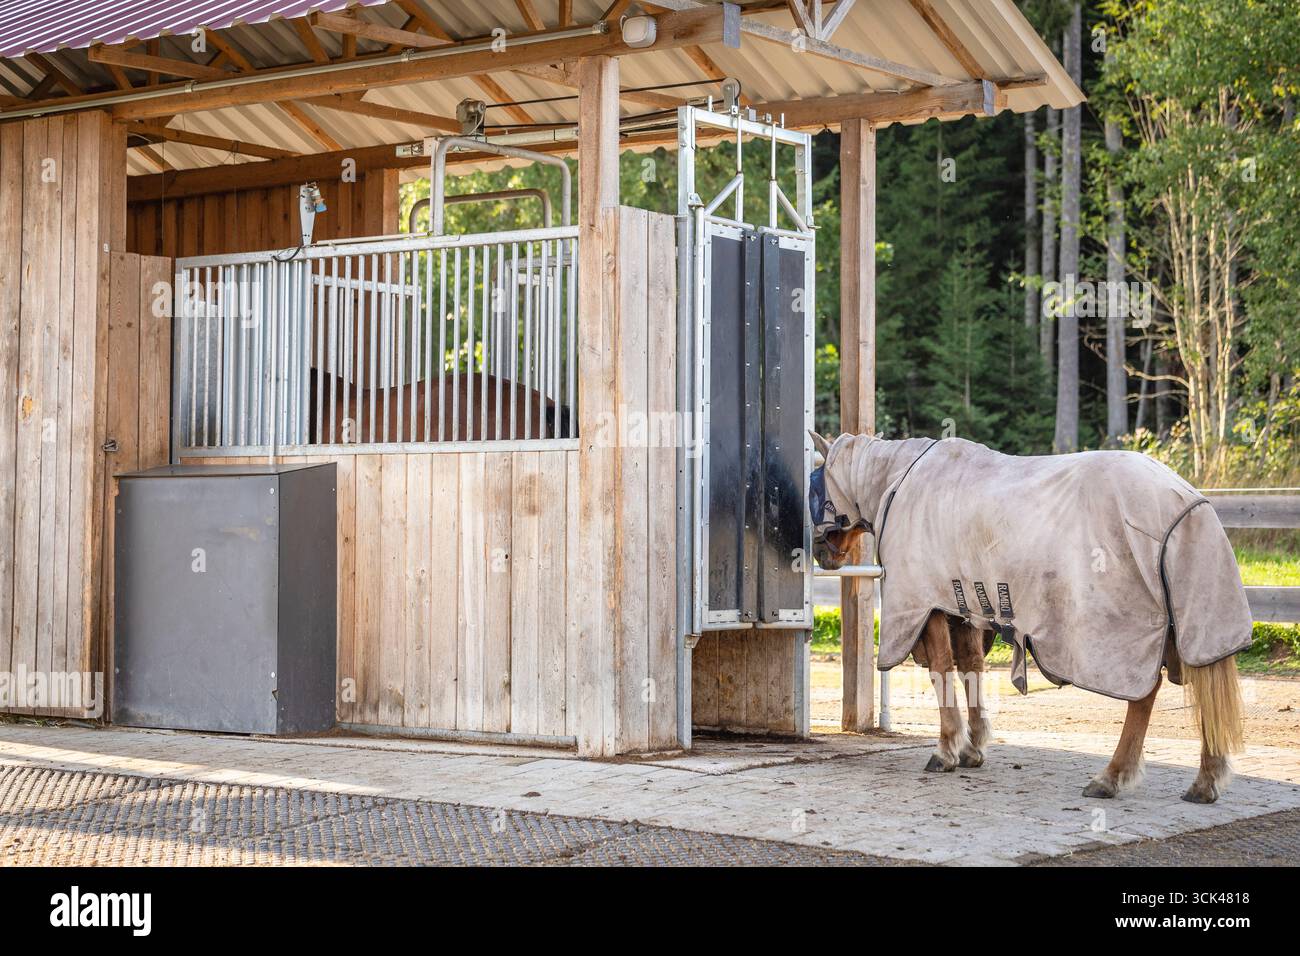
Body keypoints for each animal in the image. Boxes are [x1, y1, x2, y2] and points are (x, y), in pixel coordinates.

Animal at [808, 431, 1250, 804]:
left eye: (817, 483)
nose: (820, 552)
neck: (900, 482)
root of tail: (1183, 503)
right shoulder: (962, 607)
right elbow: (971, 669)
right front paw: (973, 747)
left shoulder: (926, 606)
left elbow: (941, 670)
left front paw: (947, 748)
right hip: (1186, 627)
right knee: (1202, 682)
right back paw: (1205, 781)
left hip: (1125, 635)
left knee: (1144, 693)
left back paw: (1112, 776)